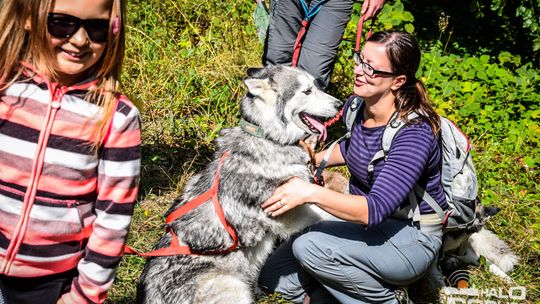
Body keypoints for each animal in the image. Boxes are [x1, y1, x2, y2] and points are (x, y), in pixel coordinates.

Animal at [137, 66, 344, 304]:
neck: (268, 139)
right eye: (307, 91)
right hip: (233, 287)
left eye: (316, 85)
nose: (340, 105)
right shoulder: (293, 213)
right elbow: (329, 216)